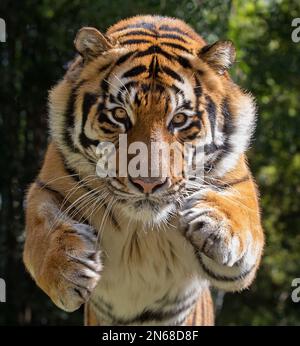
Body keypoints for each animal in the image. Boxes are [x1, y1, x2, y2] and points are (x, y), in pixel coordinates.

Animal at [22, 14, 264, 328]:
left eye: (180, 119)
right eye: (119, 115)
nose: (148, 184)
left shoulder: (237, 186)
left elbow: (242, 213)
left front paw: (217, 225)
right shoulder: (48, 186)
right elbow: (43, 226)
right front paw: (68, 270)